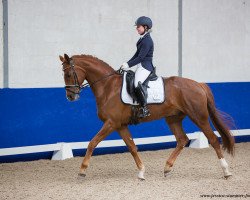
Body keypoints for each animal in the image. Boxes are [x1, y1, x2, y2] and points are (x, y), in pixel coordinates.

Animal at [58, 53, 234, 180]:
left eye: (68, 74)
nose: (70, 97)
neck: (108, 87)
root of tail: (199, 84)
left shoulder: (111, 123)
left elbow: (92, 143)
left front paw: (82, 171)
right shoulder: (120, 125)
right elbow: (132, 147)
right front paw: (141, 172)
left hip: (199, 117)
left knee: (213, 139)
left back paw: (226, 171)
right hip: (173, 119)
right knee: (182, 140)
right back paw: (167, 168)